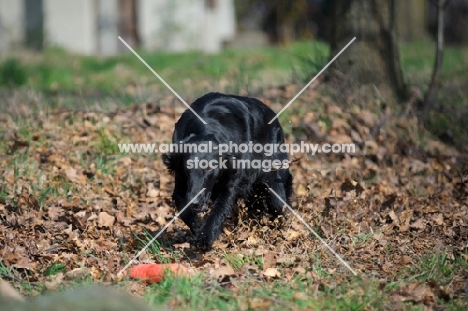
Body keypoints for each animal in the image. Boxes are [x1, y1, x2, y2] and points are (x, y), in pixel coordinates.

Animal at [163, 92, 290, 251]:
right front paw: (198, 227)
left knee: (279, 203)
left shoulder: (229, 186)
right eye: (188, 168)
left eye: (209, 167)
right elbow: (184, 208)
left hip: (273, 181)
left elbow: (218, 211)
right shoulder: (180, 184)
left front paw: (205, 238)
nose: (195, 202)